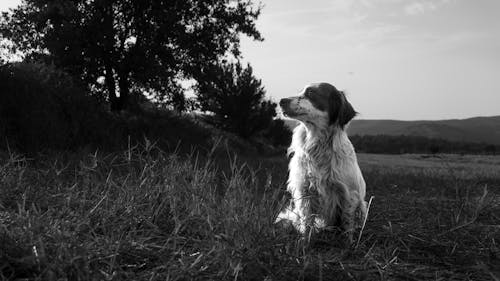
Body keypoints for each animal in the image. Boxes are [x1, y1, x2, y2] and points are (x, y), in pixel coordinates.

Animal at [276, 81, 366, 241]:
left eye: (311, 93)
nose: (281, 101)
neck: (318, 144)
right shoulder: (304, 190)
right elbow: (306, 221)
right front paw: (305, 241)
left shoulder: (349, 194)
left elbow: (347, 223)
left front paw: (348, 243)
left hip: (362, 207)